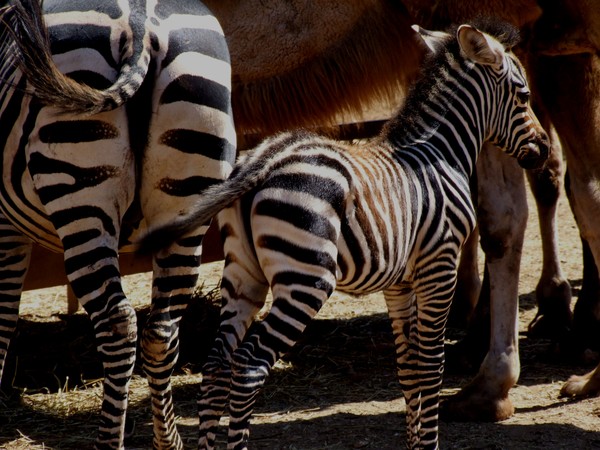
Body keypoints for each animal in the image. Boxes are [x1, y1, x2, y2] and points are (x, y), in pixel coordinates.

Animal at [0, 0, 237, 450]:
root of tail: (141, 25)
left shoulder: (3, 225)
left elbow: (1, 320)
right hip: (188, 200)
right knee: (161, 331)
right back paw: (169, 442)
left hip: (79, 190)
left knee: (118, 323)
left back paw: (110, 441)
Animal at [144, 20, 548, 450]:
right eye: (524, 95)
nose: (542, 149)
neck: (441, 153)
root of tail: (264, 160)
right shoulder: (439, 264)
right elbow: (430, 365)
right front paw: (429, 441)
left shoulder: (399, 282)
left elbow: (408, 368)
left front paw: (415, 441)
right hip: (306, 280)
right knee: (250, 365)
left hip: (243, 273)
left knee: (218, 363)